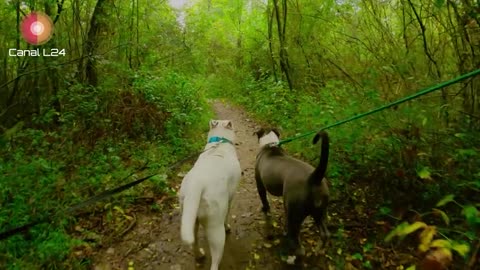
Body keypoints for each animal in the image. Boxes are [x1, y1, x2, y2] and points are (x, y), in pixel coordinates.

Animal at [179, 119, 242, 268]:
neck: (220, 142)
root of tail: (197, 185)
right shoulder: (230, 199)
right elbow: (227, 215)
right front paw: (228, 226)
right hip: (215, 229)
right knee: (215, 262)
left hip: (191, 219)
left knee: (194, 242)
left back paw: (199, 255)